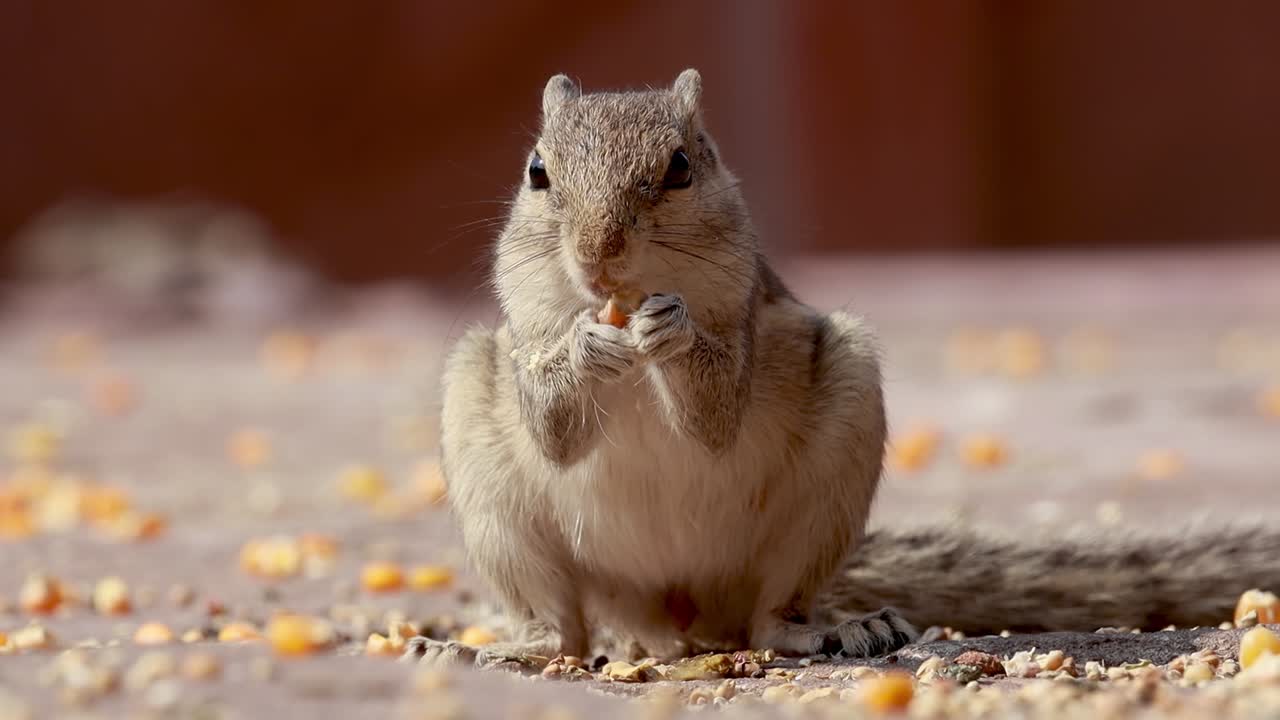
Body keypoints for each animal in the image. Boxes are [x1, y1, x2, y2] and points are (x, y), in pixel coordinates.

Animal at [404, 70, 1280, 667]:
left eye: (683, 166)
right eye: (537, 173)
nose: (598, 255)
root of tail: (674, 613)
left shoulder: (746, 313)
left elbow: (716, 414)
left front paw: (673, 331)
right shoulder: (526, 334)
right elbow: (554, 429)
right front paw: (588, 344)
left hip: (828, 474)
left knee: (772, 614)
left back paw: (833, 629)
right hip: (497, 496)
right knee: (563, 627)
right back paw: (501, 647)